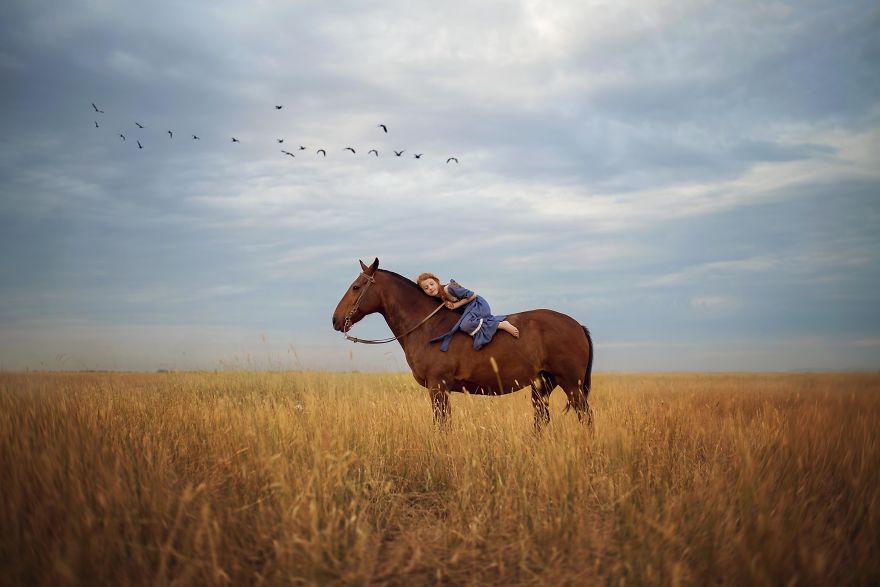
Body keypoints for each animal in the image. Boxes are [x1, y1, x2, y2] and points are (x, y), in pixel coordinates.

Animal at [332, 260, 600, 430]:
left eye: (356, 287)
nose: (336, 320)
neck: (429, 326)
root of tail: (577, 326)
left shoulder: (438, 388)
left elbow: (442, 426)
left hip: (571, 385)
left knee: (586, 418)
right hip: (543, 386)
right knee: (541, 420)